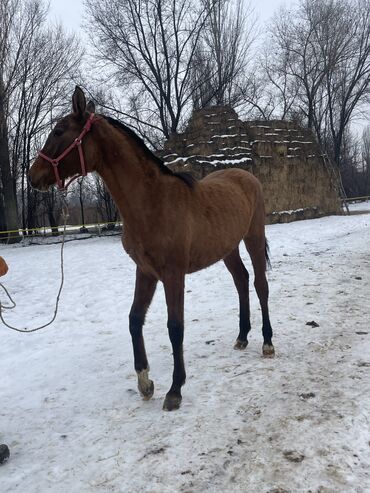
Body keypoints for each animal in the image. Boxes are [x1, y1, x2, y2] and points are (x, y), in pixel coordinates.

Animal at [29, 86, 274, 410]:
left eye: (58, 131)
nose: (33, 176)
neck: (152, 202)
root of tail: (246, 177)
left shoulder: (173, 274)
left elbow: (175, 327)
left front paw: (175, 389)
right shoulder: (145, 271)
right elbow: (135, 320)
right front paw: (145, 382)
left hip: (253, 238)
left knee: (260, 284)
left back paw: (267, 342)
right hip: (228, 248)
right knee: (241, 280)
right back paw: (242, 336)